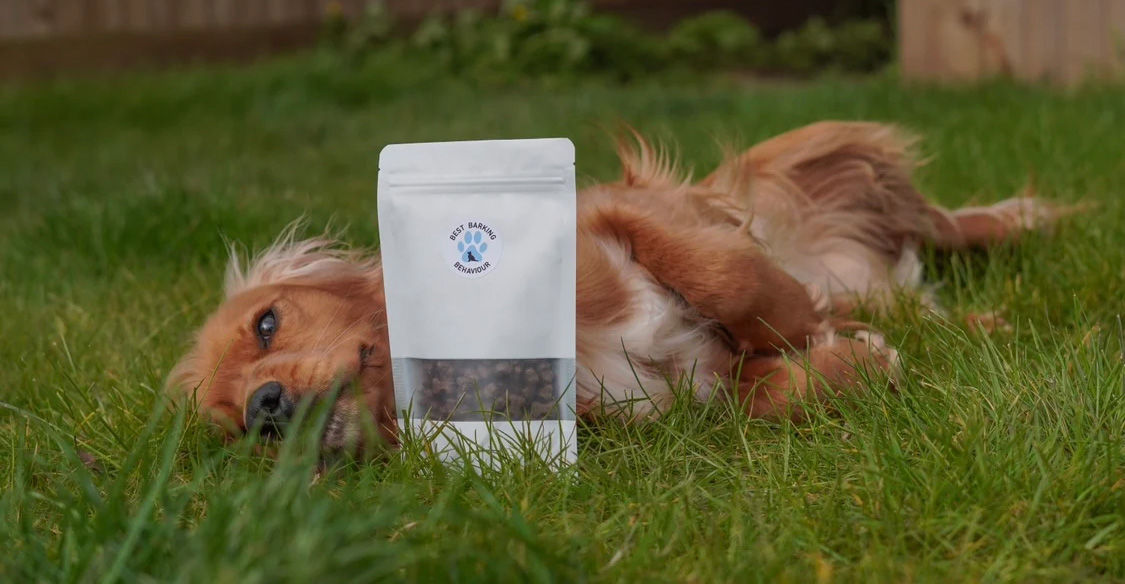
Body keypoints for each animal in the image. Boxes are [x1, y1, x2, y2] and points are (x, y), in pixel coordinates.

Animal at [166, 122, 1071, 456]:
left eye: (268, 323)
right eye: (228, 426)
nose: (264, 410)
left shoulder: (624, 212)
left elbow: (728, 276)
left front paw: (798, 329)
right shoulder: (688, 398)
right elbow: (765, 395)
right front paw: (851, 363)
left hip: (820, 161)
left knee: (946, 226)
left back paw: (1028, 226)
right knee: (917, 300)